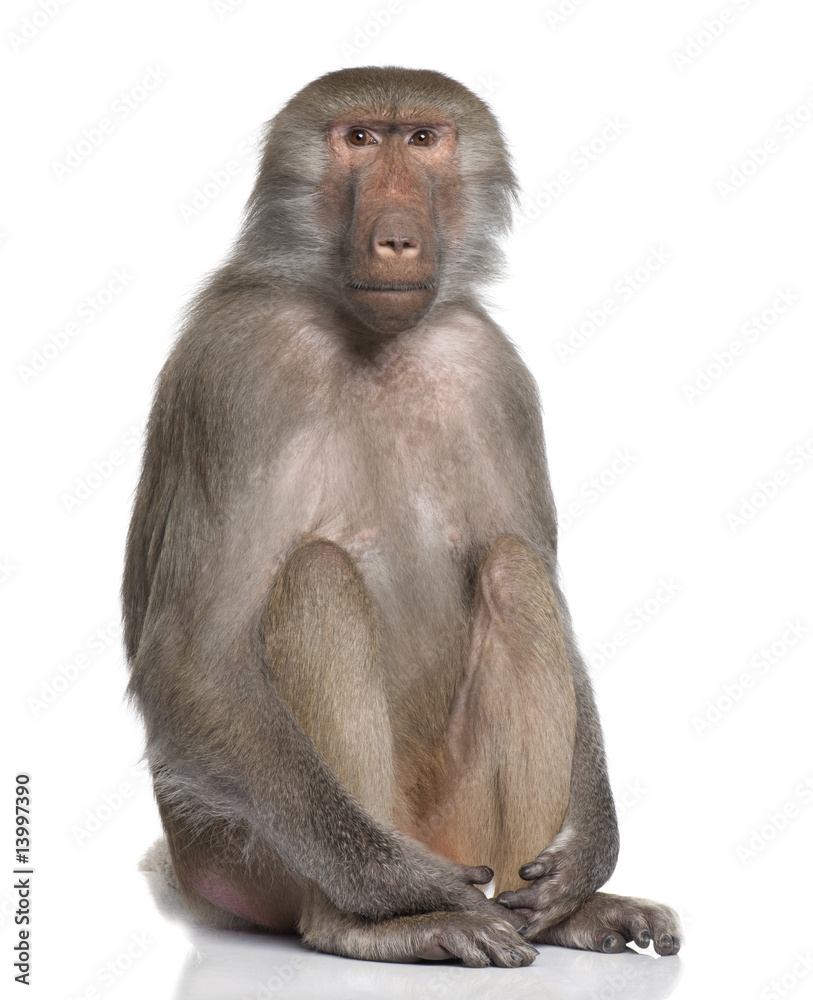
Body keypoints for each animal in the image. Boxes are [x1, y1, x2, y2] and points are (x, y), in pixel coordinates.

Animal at [123, 66, 682, 968]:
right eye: (357, 139)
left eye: (422, 139)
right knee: (317, 577)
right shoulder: (237, 365)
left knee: (514, 573)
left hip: (466, 828)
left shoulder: (492, 370)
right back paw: (375, 922)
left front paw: (590, 856)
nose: (394, 240)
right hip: (249, 852)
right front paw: (406, 888)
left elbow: (543, 591)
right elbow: (192, 655)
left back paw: (563, 916)